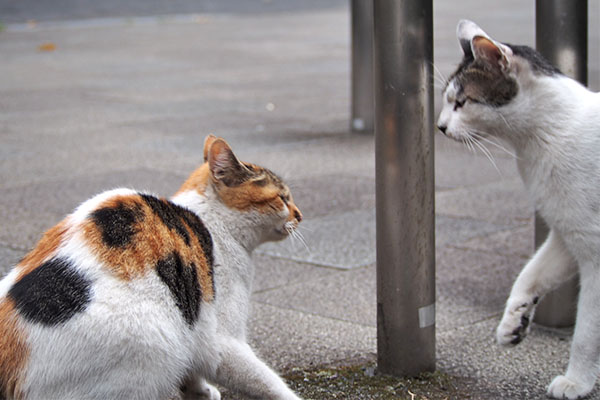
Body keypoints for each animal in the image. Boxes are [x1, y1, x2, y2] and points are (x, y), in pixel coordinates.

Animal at [0, 136, 302, 400]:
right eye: (282, 198)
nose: (300, 215)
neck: (214, 221)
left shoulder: (192, 324)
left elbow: (192, 370)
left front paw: (199, 391)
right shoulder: (222, 339)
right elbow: (265, 380)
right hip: (150, 348)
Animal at [436, 20, 600, 400]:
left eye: (462, 102)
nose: (440, 126)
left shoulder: (596, 256)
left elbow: (586, 331)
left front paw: (577, 382)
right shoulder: (567, 235)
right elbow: (529, 274)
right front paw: (514, 322)